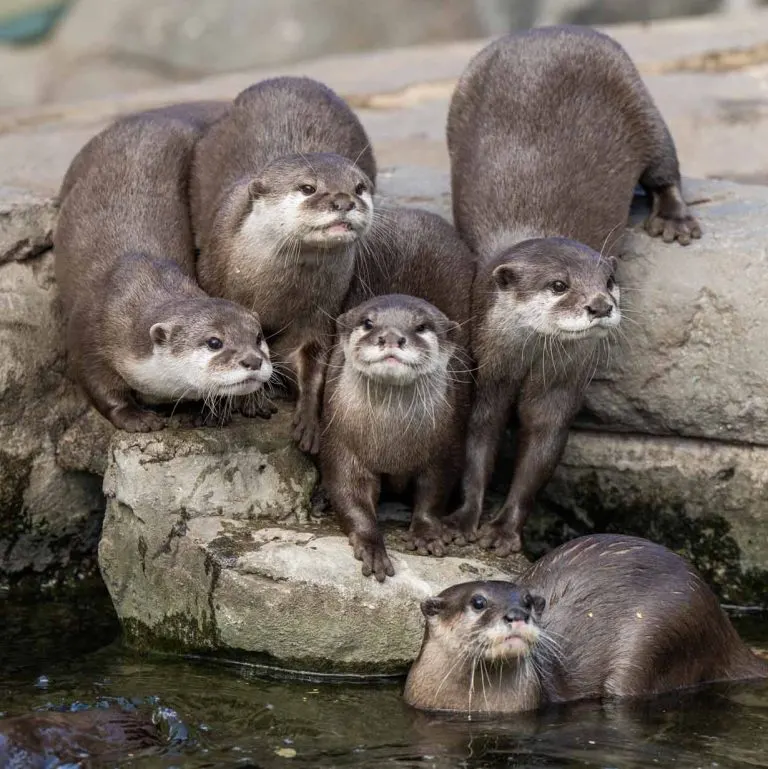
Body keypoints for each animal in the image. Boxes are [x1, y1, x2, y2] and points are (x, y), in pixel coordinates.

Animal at [54, 105, 273, 432]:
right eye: (214, 342)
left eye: (258, 337)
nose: (253, 360)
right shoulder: (87, 337)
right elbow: (102, 388)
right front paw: (137, 418)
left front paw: (211, 411)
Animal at [191, 76, 376, 454]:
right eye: (307, 188)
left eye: (359, 187)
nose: (344, 201)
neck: (277, 294)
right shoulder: (217, 281)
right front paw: (251, 399)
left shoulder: (318, 313)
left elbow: (312, 362)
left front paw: (309, 421)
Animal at [320, 294, 466, 581]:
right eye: (368, 322)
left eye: (421, 326)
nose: (390, 336)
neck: (393, 446)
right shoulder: (341, 445)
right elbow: (349, 493)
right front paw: (371, 546)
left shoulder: (445, 449)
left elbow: (434, 494)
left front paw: (427, 534)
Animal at [404, 534, 768, 714]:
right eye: (478, 602)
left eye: (527, 601)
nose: (517, 614)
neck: (464, 706)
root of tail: (722, 623)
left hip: (665, 630)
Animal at [443, 25, 701, 553]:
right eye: (559, 285)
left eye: (610, 282)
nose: (599, 305)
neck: (527, 361)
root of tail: (549, 30)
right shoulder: (489, 366)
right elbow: (480, 438)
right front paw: (463, 520)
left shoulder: (565, 379)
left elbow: (541, 448)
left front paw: (505, 530)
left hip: (642, 105)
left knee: (666, 168)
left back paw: (674, 218)